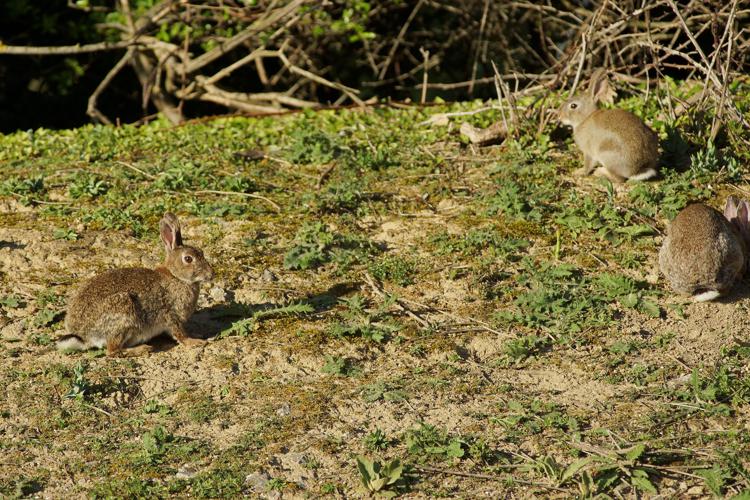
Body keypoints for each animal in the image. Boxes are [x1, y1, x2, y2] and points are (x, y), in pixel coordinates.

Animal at [58, 212, 214, 356]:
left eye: (201, 252)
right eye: (188, 259)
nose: (211, 275)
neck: (176, 277)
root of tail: (83, 337)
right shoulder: (172, 315)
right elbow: (180, 334)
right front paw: (195, 342)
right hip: (123, 313)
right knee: (112, 350)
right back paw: (142, 349)